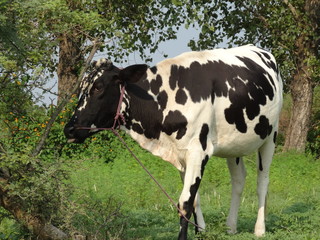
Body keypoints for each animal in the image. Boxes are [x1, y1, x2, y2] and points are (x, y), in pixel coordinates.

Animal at [64, 44, 282, 238]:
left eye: (98, 88)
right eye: (82, 87)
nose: (69, 129)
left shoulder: (198, 150)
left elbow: (185, 202)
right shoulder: (181, 154)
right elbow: (195, 199)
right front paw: (200, 232)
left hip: (271, 136)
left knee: (262, 181)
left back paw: (259, 229)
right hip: (234, 145)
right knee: (238, 179)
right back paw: (230, 227)